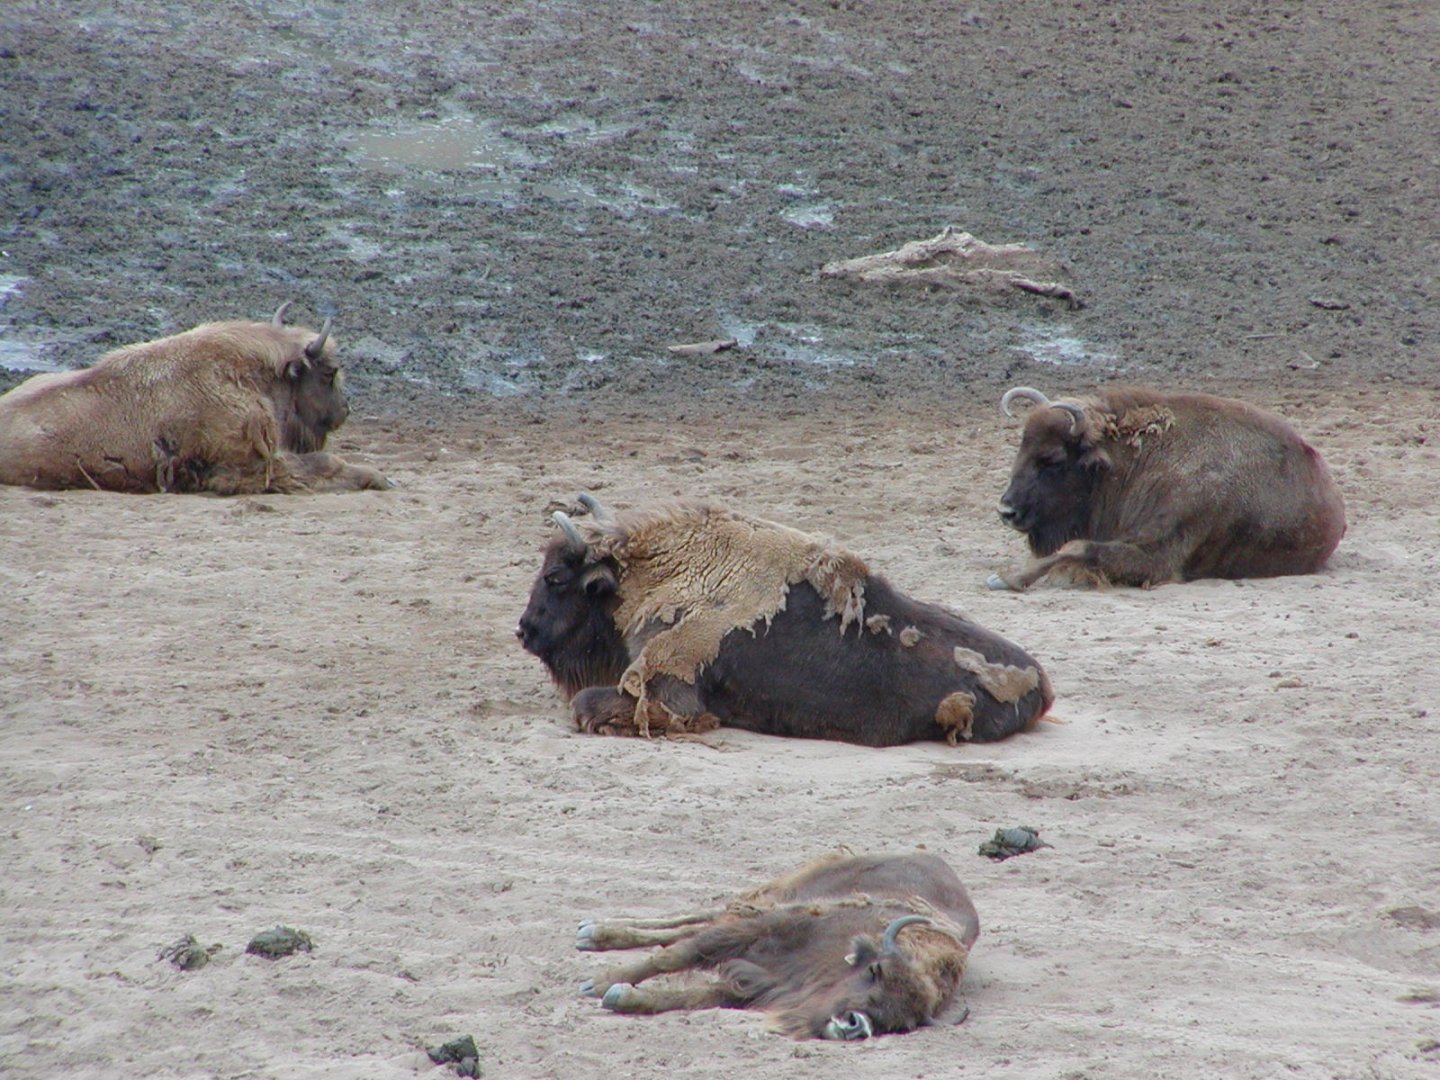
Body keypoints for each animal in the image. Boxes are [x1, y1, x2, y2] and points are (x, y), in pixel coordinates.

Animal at [0, 303, 389, 494]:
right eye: (328, 372)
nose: (345, 410)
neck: (241, 374)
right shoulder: (249, 466)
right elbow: (321, 463)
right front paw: (380, 478)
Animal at [517, 494, 1053, 746]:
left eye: (557, 577)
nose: (524, 630)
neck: (659, 574)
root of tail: (1043, 681)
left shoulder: (668, 694)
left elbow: (586, 704)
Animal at [576, 851, 979, 1040]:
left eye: (902, 1025)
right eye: (875, 970)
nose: (855, 1025)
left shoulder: (757, 982)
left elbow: (697, 995)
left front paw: (622, 997)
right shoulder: (767, 927)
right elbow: (678, 955)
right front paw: (598, 984)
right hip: (772, 896)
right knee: (697, 920)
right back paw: (593, 933)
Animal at [990, 385, 1346, 590]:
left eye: (1052, 459)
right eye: (1021, 448)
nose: (1006, 511)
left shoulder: (1161, 555)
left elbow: (1077, 547)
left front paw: (1006, 579)